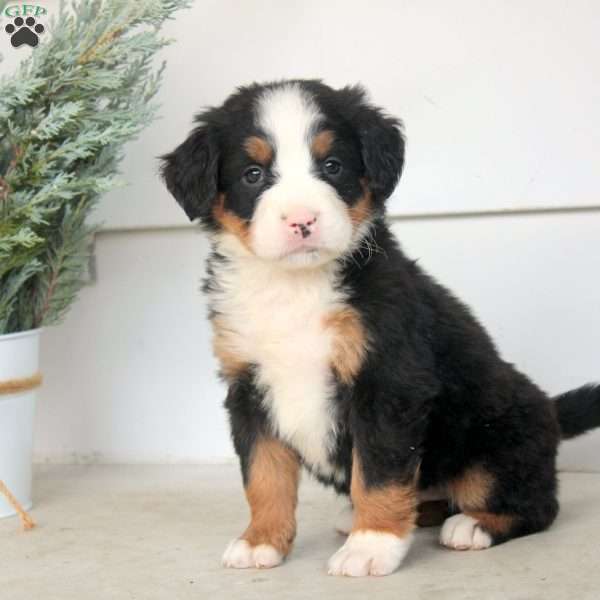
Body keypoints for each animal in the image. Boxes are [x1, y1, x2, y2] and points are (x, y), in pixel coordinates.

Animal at [159, 79, 600, 576]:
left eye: (332, 166)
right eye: (253, 174)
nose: (302, 220)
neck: (294, 288)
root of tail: (550, 411)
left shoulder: (387, 381)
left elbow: (378, 472)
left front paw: (371, 545)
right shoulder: (249, 388)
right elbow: (263, 475)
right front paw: (261, 541)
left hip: (494, 446)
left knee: (535, 505)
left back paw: (473, 525)